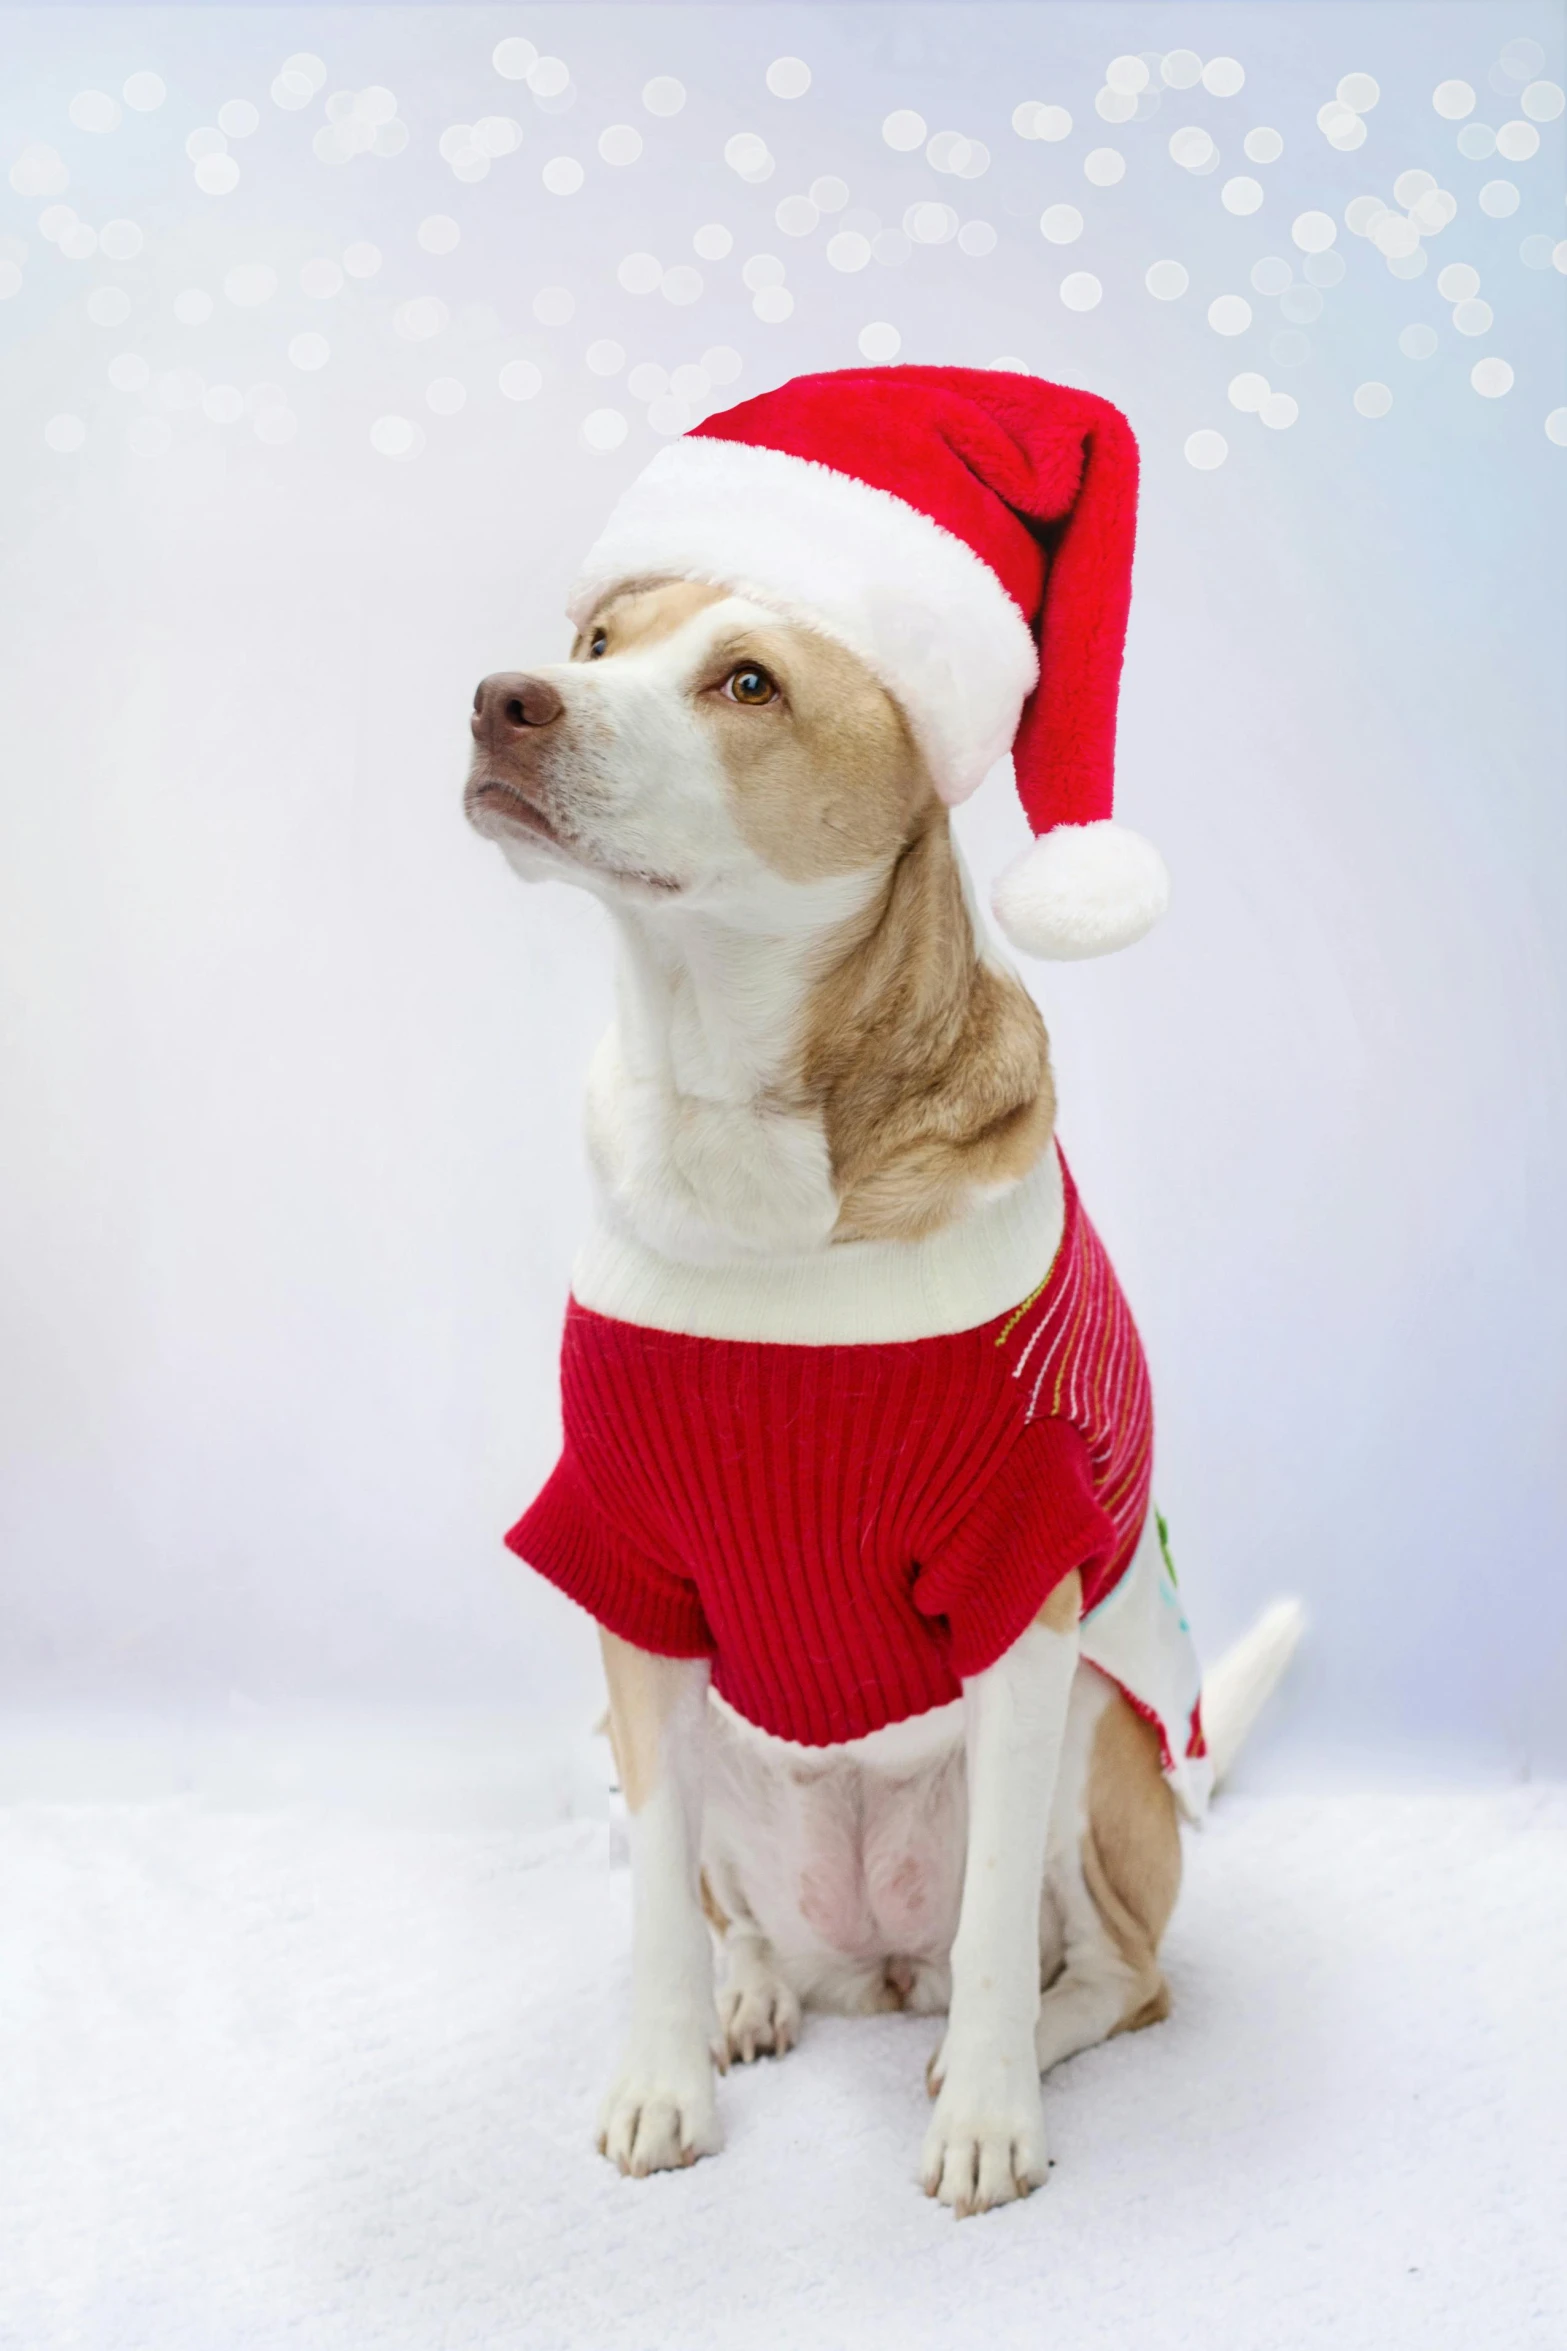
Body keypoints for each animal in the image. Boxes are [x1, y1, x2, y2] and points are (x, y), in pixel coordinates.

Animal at [460, 564, 1306, 2200]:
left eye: (746, 683)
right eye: (597, 641)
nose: (501, 698)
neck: (729, 1118)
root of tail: (871, 1964)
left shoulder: (1017, 1585)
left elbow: (993, 1933)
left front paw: (984, 2117)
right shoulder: (634, 1582)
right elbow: (653, 1914)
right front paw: (661, 2082)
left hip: (1095, 1740)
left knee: (1103, 1969)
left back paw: (998, 2041)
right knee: (736, 1919)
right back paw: (753, 1995)